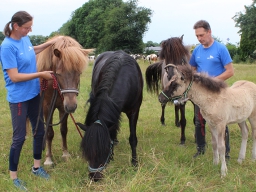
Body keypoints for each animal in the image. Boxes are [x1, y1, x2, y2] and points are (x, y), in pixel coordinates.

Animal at [35, 35, 92, 165]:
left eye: (79, 73)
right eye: (59, 73)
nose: (72, 106)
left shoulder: (63, 107)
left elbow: (63, 130)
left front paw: (65, 154)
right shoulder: (47, 108)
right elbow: (49, 133)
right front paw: (48, 159)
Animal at [76, 50, 144, 181]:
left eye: (105, 149)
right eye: (87, 151)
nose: (94, 177)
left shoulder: (134, 111)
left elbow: (133, 138)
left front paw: (134, 162)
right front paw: (112, 157)